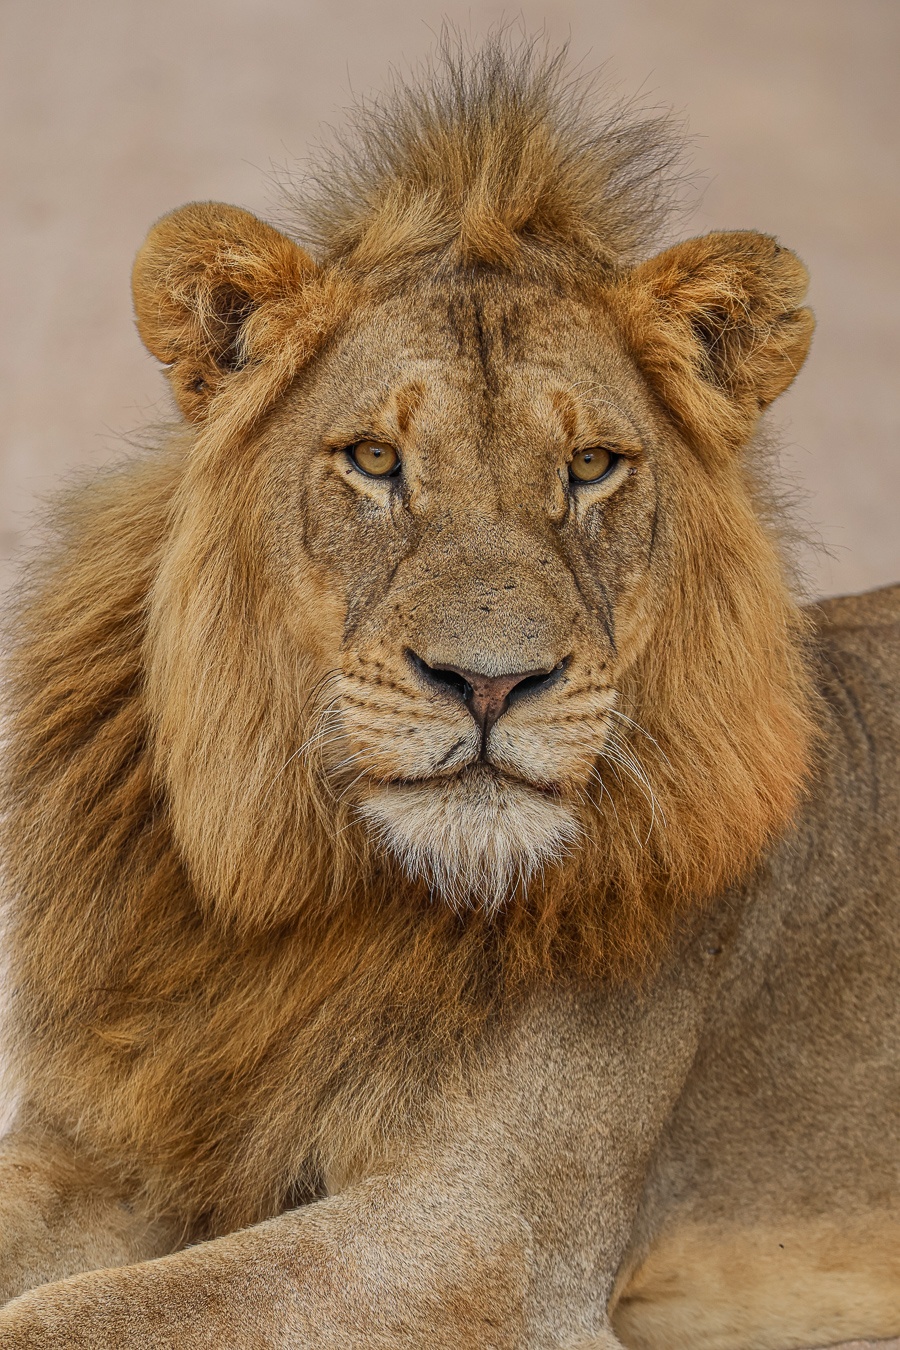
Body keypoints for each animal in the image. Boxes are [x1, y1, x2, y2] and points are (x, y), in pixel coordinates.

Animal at [0, 37, 897, 1350]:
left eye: (590, 467)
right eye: (376, 460)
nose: (491, 682)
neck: (315, 890)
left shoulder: (486, 1234)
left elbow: (86, 1313)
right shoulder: (107, 1143)